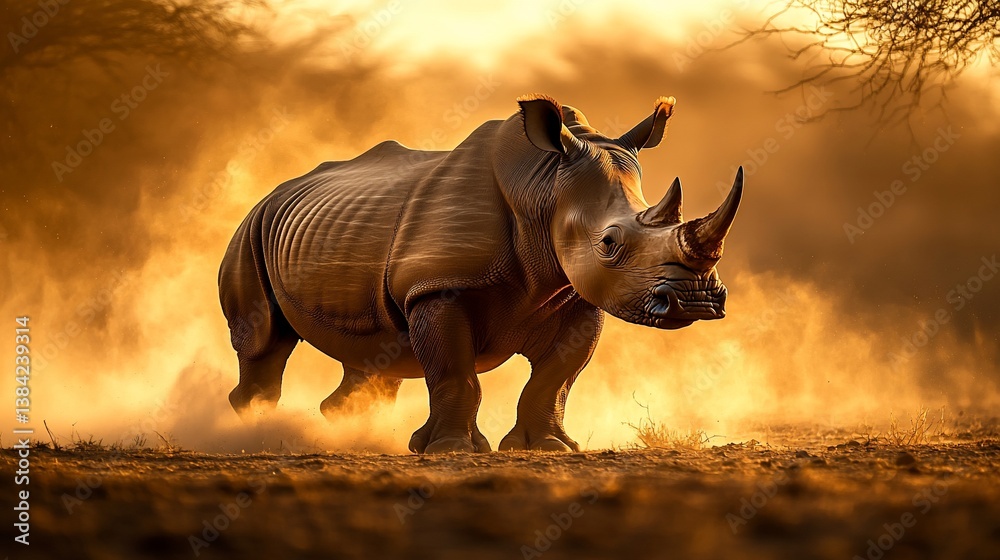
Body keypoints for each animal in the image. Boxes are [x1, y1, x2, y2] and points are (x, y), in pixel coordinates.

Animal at [219, 94, 743, 453]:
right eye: (609, 243)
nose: (696, 300)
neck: (543, 189)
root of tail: (274, 191)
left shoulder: (576, 293)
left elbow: (556, 378)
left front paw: (548, 448)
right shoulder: (438, 287)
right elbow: (455, 372)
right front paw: (449, 450)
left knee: (376, 352)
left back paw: (349, 431)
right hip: (250, 230)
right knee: (264, 340)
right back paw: (254, 433)